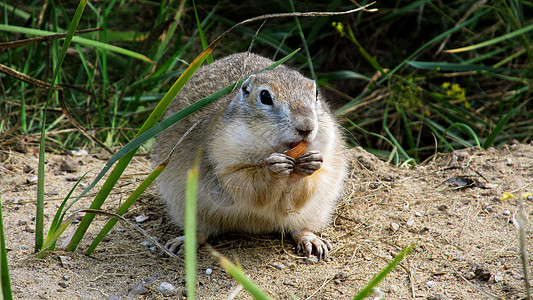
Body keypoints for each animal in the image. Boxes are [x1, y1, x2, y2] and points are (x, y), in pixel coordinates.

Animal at [152, 52, 348, 260]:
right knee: (201, 231)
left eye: (316, 94)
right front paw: (274, 169)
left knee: (299, 228)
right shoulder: (223, 162)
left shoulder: (328, 164)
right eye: (265, 96)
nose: (306, 127)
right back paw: (182, 244)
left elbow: (306, 190)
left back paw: (313, 242)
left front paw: (310, 165)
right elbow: (248, 184)